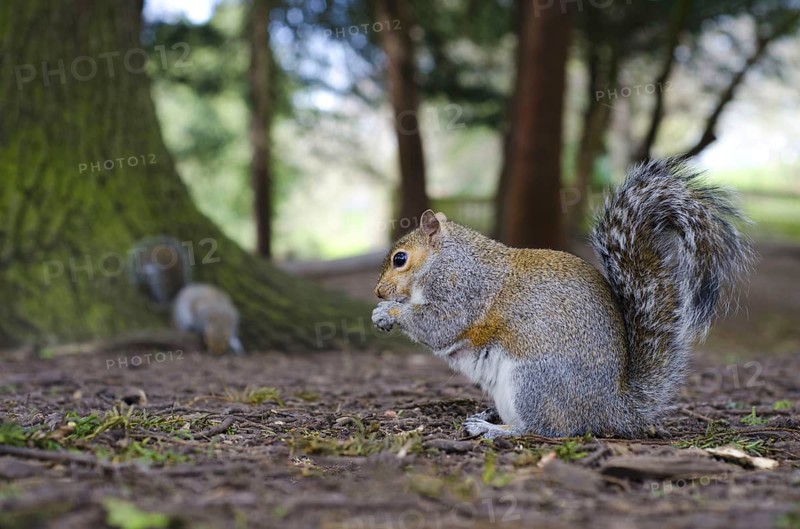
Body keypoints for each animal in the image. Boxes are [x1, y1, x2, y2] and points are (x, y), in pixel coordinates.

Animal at [372, 159, 754, 438]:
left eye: (400, 259)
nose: (378, 291)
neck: (448, 259)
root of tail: (611, 409)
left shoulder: (462, 290)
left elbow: (439, 325)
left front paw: (389, 311)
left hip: (532, 382)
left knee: (544, 429)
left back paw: (495, 430)